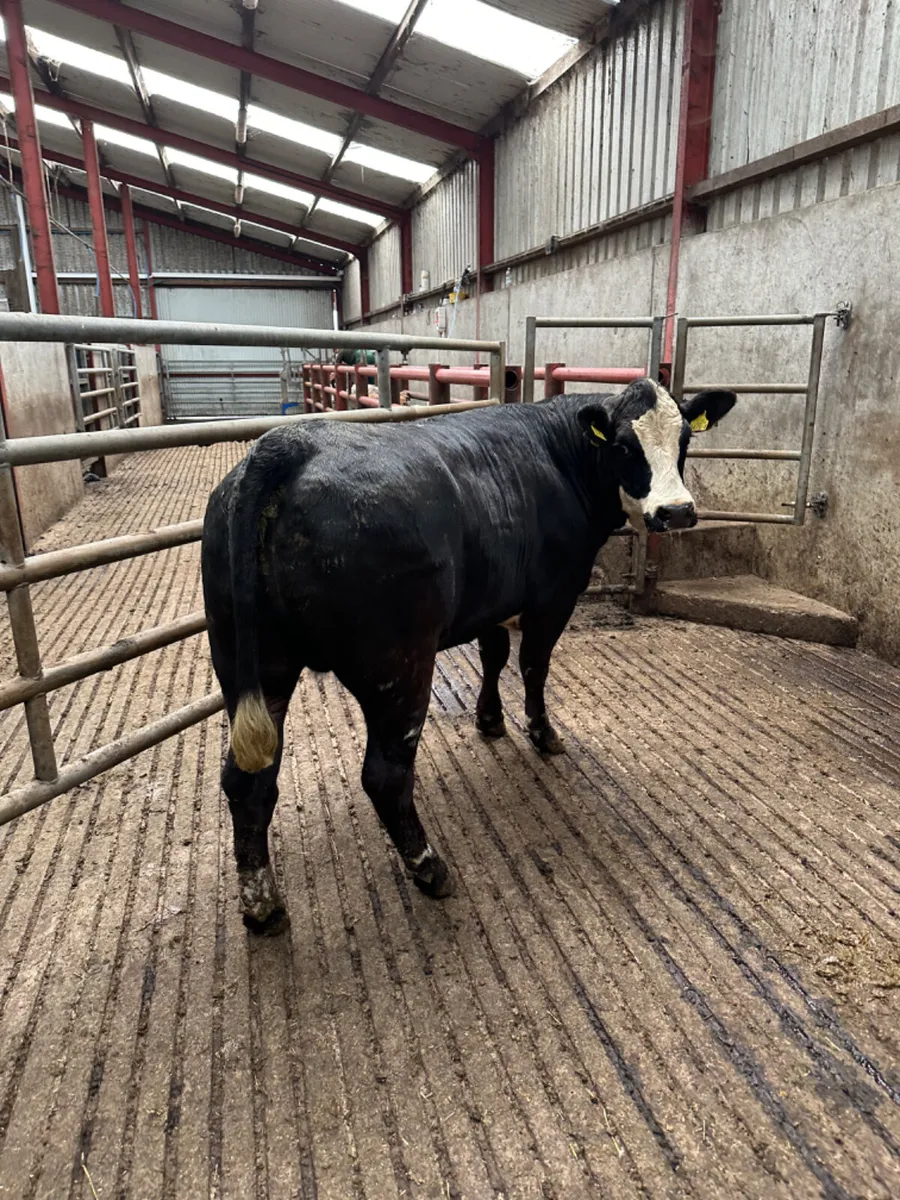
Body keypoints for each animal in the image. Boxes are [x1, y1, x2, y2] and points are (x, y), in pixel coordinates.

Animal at [201, 378, 737, 934]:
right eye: (626, 446)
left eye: (684, 441)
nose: (677, 511)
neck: (558, 454)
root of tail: (287, 442)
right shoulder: (554, 597)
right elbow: (533, 665)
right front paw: (542, 733)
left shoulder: (496, 599)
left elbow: (494, 655)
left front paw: (490, 720)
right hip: (399, 666)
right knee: (385, 775)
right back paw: (429, 868)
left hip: (253, 663)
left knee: (248, 780)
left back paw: (262, 905)